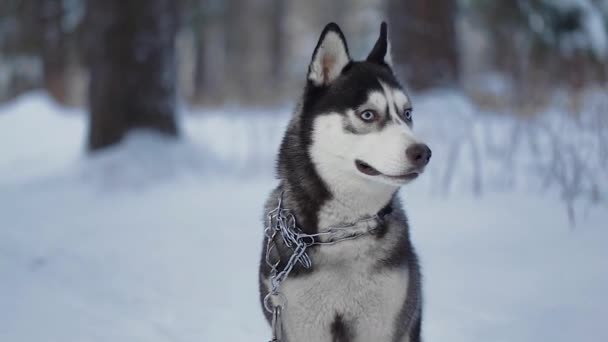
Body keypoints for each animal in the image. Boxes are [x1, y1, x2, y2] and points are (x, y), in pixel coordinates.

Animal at [258, 22, 430, 342]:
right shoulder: (300, 323)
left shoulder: (381, 323)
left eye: (407, 113)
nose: (423, 153)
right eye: (368, 114)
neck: (343, 233)